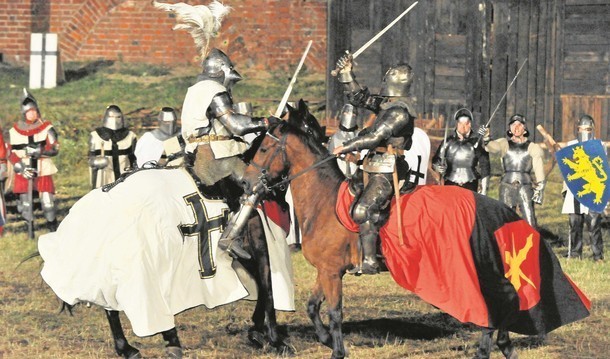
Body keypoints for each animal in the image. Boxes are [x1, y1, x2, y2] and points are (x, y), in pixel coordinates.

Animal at [239, 105, 588, 359]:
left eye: (265, 147)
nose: (245, 182)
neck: (323, 200)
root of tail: (490, 207)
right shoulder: (328, 270)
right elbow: (313, 306)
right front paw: (324, 339)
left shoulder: (332, 272)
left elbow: (335, 312)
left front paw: (337, 350)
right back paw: (499, 346)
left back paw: (490, 347)